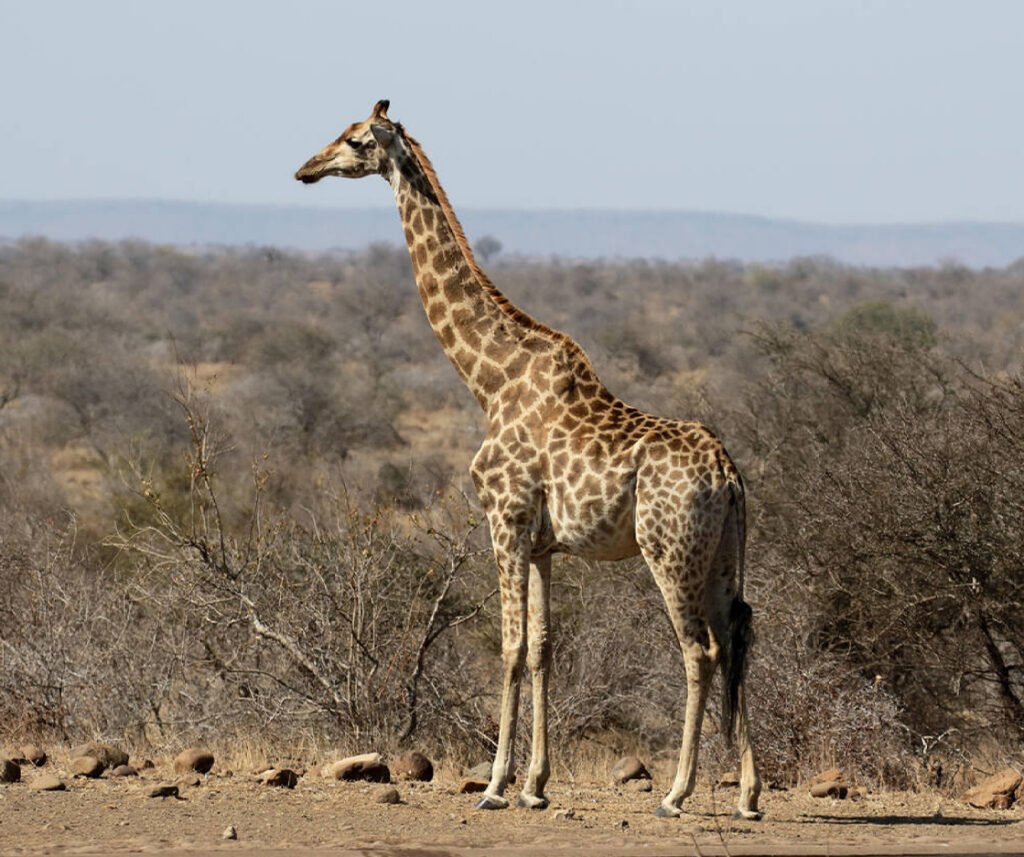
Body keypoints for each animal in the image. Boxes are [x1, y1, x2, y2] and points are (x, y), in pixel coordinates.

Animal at [295, 100, 762, 821]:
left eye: (355, 140)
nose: (305, 169)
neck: (488, 380)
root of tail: (729, 476)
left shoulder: (505, 520)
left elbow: (511, 646)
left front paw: (494, 785)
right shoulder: (543, 543)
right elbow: (543, 647)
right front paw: (536, 785)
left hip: (669, 549)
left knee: (699, 649)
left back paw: (677, 792)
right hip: (719, 555)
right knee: (737, 636)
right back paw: (747, 794)